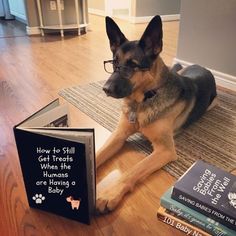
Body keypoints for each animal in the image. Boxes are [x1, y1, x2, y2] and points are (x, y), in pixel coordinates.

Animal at [95, 15, 216, 213]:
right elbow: (98, 154)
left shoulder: (164, 150)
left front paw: (109, 194)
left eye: (132, 65)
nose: (105, 89)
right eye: (114, 63)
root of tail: (203, 67)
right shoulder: (118, 135)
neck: (143, 101)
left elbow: (135, 170)